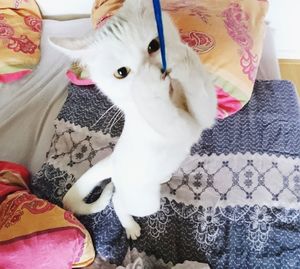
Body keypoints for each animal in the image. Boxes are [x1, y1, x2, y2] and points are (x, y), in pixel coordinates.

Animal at [50, 0, 217, 239]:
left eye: (154, 45)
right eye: (121, 72)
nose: (160, 69)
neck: (172, 95)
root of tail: (113, 161)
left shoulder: (204, 115)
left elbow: (200, 92)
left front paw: (181, 56)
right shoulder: (178, 126)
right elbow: (160, 110)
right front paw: (148, 83)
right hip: (145, 202)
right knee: (118, 200)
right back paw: (130, 226)